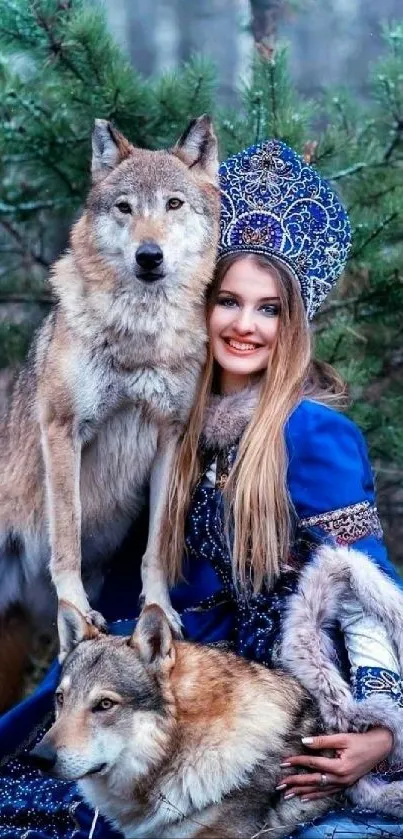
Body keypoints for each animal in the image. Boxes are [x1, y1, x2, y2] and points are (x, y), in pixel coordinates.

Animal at [0, 116, 221, 688]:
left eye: (173, 204)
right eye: (124, 207)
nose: (149, 256)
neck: (139, 338)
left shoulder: (173, 437)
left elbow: (157, 547)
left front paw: (160, 610)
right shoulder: (63, 429)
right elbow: (68, 534)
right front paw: (77, 610)